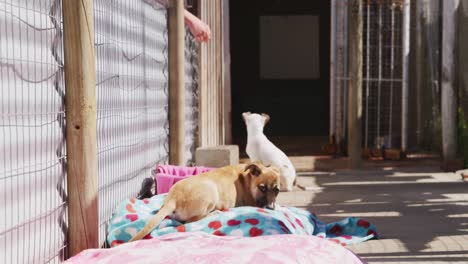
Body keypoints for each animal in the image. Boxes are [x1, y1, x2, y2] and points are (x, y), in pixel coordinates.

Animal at [128, 163, 280, 241]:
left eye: (277, 190)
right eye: (262, 188)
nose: (270, 207)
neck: (248, 178)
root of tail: (172, 199)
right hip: (211, 191)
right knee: (189, 221)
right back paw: (214, 213)